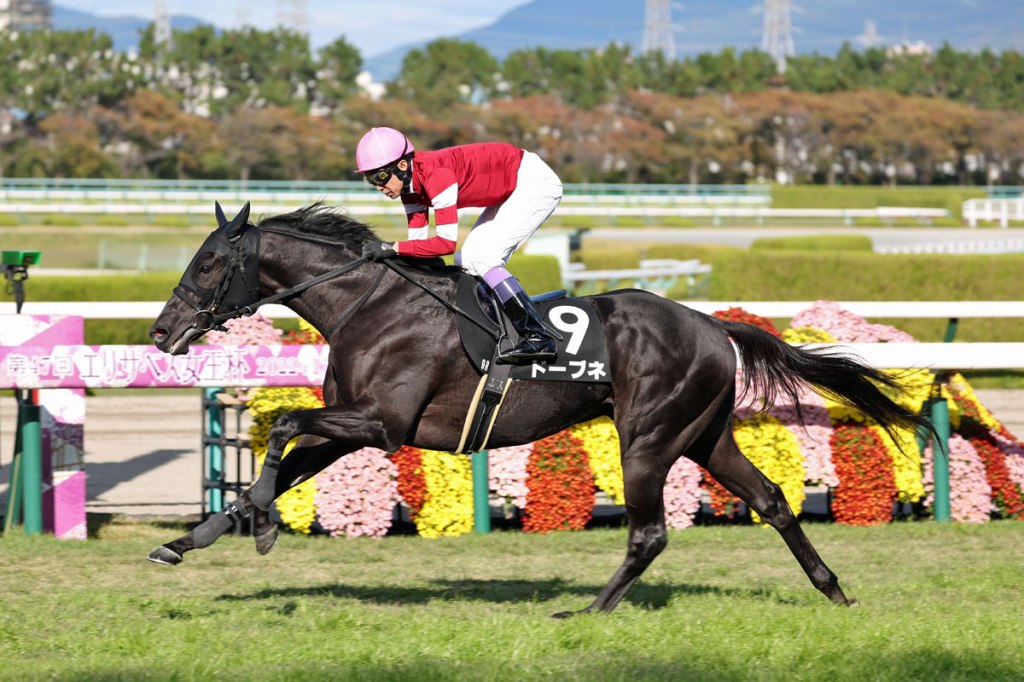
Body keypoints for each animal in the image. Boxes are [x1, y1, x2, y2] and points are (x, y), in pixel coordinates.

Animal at [146, 201, 934, 617]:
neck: (370, 305)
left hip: (648, 436)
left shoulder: (381, 423)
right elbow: (282, 465)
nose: (160, 331)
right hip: (704, 433)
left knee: (649, 533)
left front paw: (262, 528)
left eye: (209, 261)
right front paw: (195, 537)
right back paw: (833, 591)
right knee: (771, 499)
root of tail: (714, 325)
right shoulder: (352, 426)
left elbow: (281, 429)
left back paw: (589, 610)